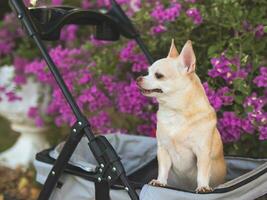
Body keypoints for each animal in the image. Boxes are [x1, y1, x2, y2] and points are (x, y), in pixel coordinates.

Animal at [137, 39, 227, 192]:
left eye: (158, 75)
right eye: (147, 72)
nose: (138, 78)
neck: (175, 112)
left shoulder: (202, 152)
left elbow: (202, 172)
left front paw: (203, 186)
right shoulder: (163, 149)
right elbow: (163, 168)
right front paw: (160, 181)